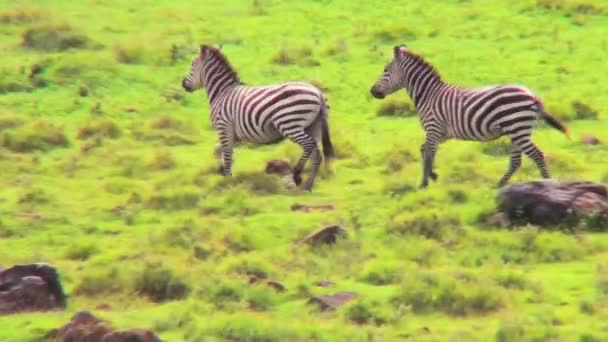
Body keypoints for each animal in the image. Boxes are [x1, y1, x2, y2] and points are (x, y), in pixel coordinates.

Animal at [180, 44, 334, 191]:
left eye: (192, 65)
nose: (183, 84)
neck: (222, 92)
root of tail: (318, 92)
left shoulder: (223, 126)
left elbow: (227, 154)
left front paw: (228, 179)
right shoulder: (235, 134)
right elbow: (218, 150)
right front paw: (222, 170)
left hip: (289, 123)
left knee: (309, 145)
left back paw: (297, 175)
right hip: (312, 126)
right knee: (317, 154)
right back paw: (307, 186)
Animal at [370, 44, 568, 188]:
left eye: (386, 70)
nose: (372, 92)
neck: (428, 94)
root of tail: (533, 96)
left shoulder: (433, 129)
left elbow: (428, 153)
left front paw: (424, 183)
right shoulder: (441, 134)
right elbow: (424, 150)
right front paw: (432, 175)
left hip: (518, 129)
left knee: (537, 155)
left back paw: (547, 184)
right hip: (517, 131)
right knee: (516, 161)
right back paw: (500, 184)